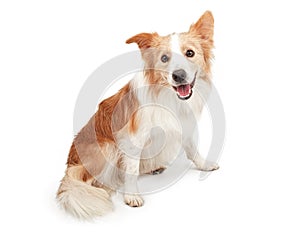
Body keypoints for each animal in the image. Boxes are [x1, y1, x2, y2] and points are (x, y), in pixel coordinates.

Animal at [57, 10, 219, 218]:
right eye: (164, 58)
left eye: (190, 53)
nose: (179, 75)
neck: (168, 95)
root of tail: (70, 163)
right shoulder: (132, 138)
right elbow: (132, 170)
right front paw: (131, 196)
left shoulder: (184, 125)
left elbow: (192, 149)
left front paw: (204, 164)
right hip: (106, 148)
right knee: (85, 179)